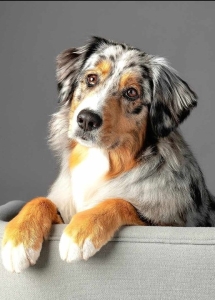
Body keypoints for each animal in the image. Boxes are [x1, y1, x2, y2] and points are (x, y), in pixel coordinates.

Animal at [1, 36, 215, 274]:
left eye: (131, 92)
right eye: (91, 78)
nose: (86, 119)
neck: (101, 159)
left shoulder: (172, 224)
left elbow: (121, 202)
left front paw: (79, 233)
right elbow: (41, 201)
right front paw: (18, 240)